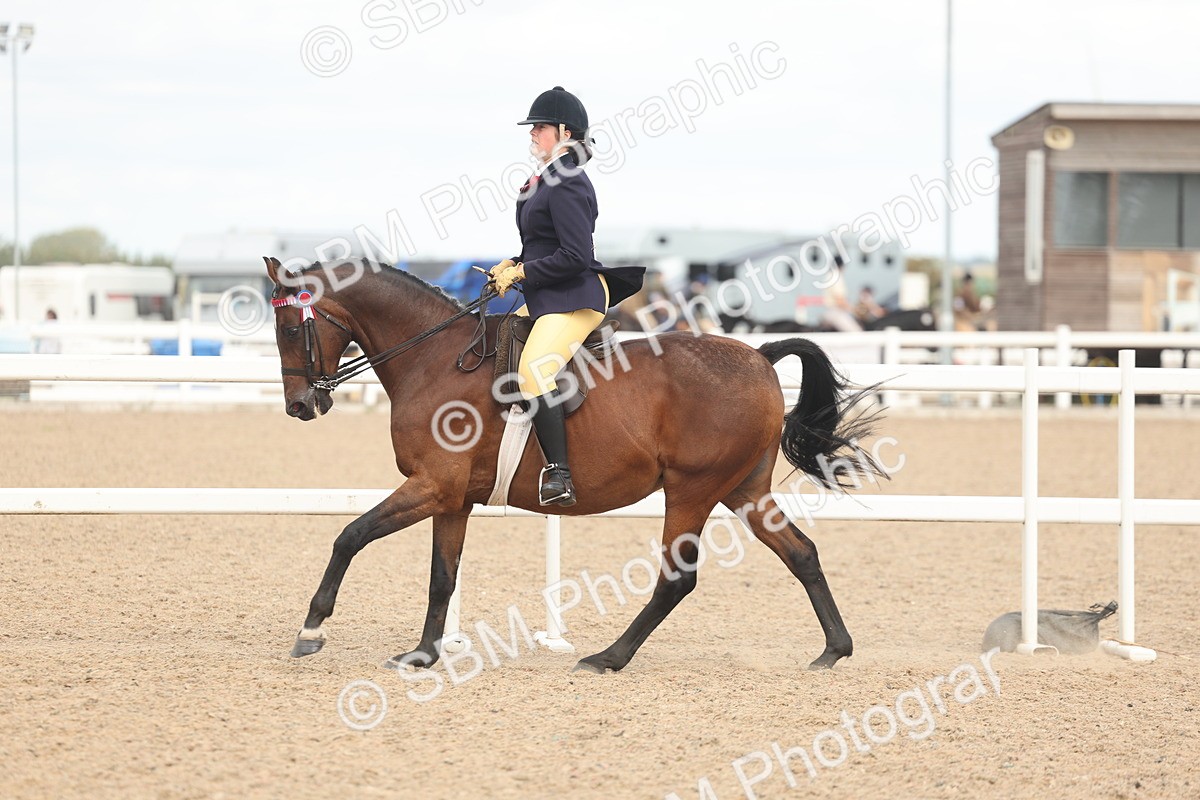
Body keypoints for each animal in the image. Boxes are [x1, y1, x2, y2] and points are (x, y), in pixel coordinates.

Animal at [263, 256, 882, 673]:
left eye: (291, 329)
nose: (300, 406)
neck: (433, 359)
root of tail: (757, 355)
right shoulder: (451, 498)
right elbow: (442, 576)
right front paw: (423, 653)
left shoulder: (430, 485)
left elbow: (350, 536)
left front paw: (311, 630)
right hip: (743, 490)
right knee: (801, 553)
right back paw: (833, 650)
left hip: (692, 491)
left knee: (676, 579)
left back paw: (608, 657)